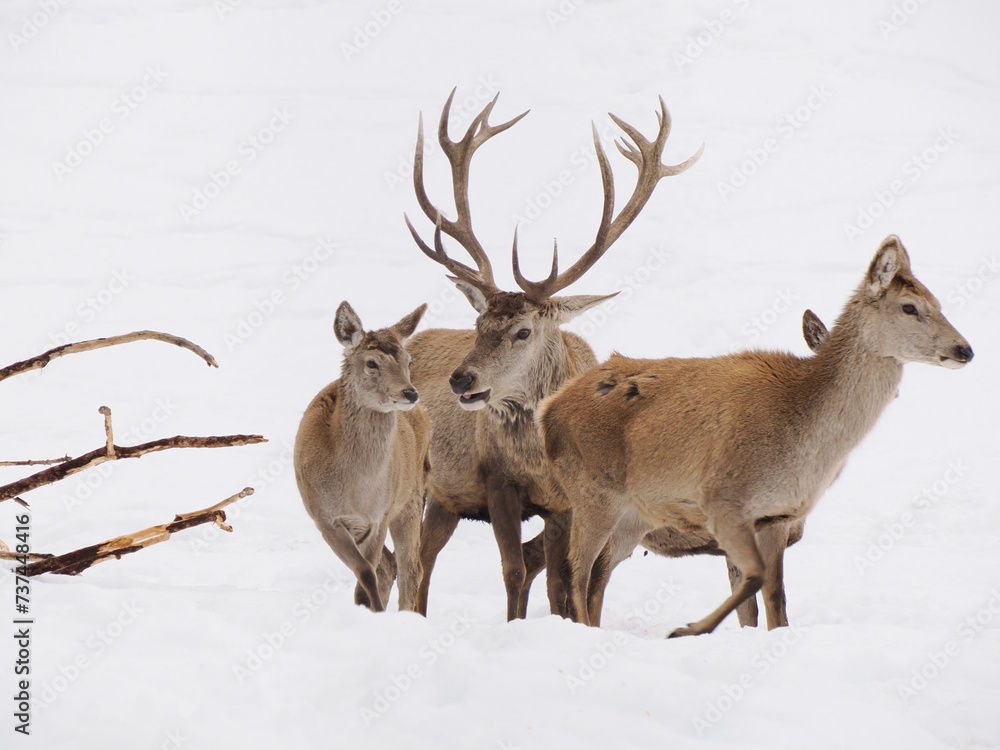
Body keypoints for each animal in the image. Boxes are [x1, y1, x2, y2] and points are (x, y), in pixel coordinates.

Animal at [294, 301, 430, 613]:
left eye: (408, 361)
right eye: (371, 363)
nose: (410, 393)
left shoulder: (379, 514)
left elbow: (368, 573)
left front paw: (371, 609)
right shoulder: (324, 517)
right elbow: (366, 572)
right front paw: (369, 609)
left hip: (411, 497)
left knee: (410, 567)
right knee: (391, 566)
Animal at [402, 89, 702, 620]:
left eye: (523, 331)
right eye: (479, 326)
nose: (461, 379)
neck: (536, 464)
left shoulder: (566, 502)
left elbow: (558, 580)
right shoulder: (499, 484)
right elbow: (514, 570)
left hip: (446, 498)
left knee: (427, 554)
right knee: (412, 555)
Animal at [539, 235, 973, 636]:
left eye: (938, 303)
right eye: (910, 306)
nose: (965, 349)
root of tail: (549, 410)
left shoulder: (776, 515)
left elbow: (776, 597)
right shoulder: (723, 500)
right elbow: (754, 579)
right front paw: (687, 629)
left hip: (634, 513)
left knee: (598, 574)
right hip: (594, 492)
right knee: (576, 570)